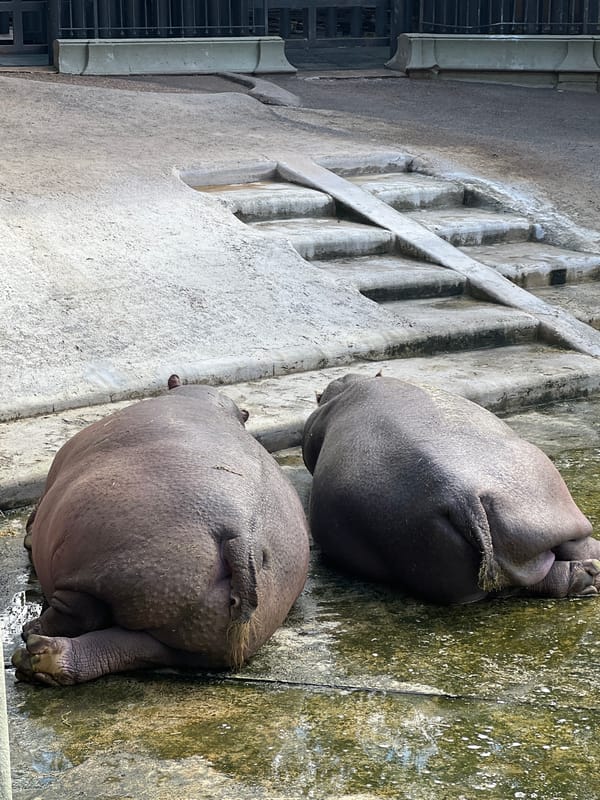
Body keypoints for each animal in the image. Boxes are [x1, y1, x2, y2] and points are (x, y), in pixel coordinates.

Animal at [12, 377, 310, 686]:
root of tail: (242, 539)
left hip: (106, 570)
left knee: (82, 614)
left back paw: (31, 632)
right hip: (189, 636)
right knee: (126, 648)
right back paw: (39, 657)